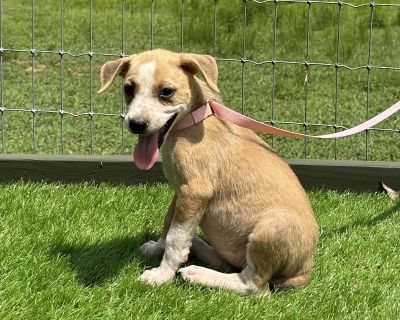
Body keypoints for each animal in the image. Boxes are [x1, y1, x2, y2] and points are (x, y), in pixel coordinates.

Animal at [98, 48, 318, 296]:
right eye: (128, 88)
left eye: (166, 92)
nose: (136, 124)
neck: (192, 121)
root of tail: (305, 270)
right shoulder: (181, 191)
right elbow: (169, 222)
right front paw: (157, 248)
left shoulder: (195, 191)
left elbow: (175, 238)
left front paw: (161, 274)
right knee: (228, 263)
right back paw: (198, 250)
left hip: (273, 227)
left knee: (254, 285)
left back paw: (200, 274)